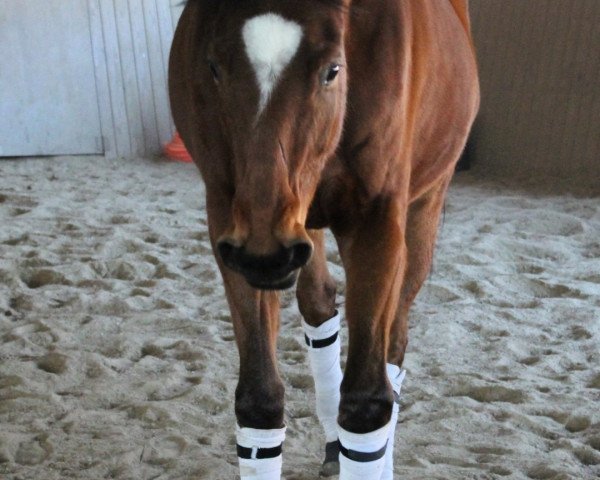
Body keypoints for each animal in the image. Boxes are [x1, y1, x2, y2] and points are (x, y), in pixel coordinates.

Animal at [168, 1, 478, 478]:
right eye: (214, 67)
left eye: (332, 70)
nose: (265, 254)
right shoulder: (229, 219)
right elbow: (259, 401)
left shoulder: (375, 222)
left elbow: (367, 404)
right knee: (319, 304)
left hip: (424, 204)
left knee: (394, 344)